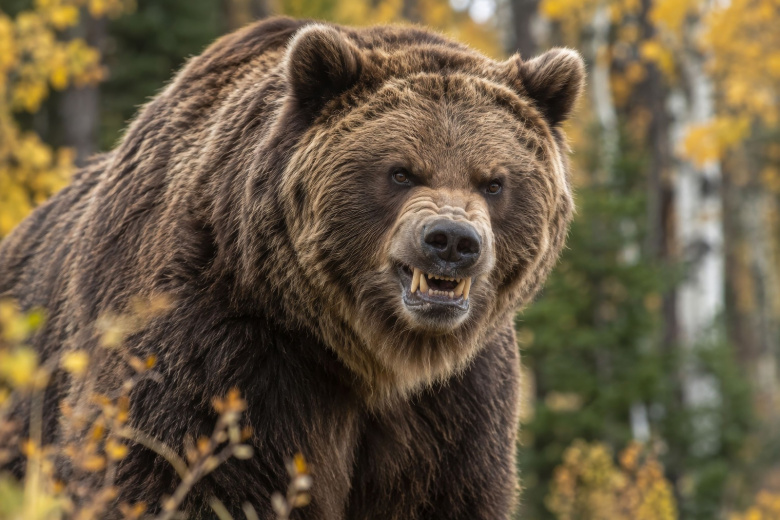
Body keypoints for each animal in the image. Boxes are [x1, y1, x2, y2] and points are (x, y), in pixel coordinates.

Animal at [0, 16, 584, 519]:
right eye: (400, 172)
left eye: (494, 181)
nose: (452, 241)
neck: (369, 356)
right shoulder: (218, 350)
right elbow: (175, 472)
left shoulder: (455, 407)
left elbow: (446, 491)